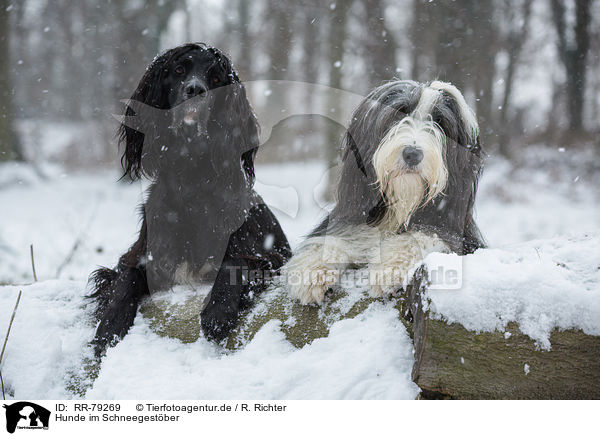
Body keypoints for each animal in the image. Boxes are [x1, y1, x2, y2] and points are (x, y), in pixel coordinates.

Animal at [89, 42, 292, 356]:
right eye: (179, 70)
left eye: (217, 78)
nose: (195, 90)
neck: (191, 177)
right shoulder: (142, 256)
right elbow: (125, 279)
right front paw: (109, 328)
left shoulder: (269, 255)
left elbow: (235, 262)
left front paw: (217, 313)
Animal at [284, 80, 486, 304]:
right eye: (398, 113)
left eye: (440, 123)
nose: (412, 154)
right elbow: (338, 236)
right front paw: (311, 272)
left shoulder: (459, 235)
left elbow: (423, 236)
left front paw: (389, 269)